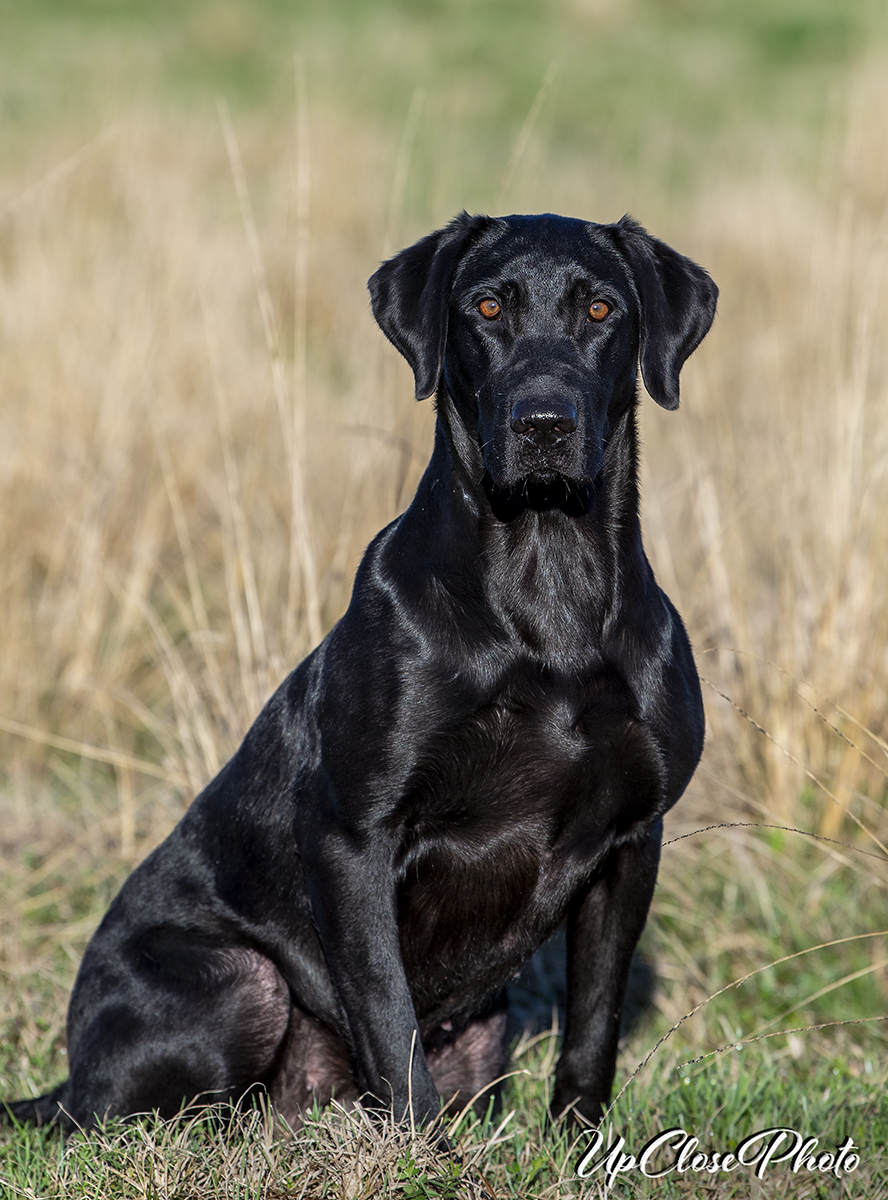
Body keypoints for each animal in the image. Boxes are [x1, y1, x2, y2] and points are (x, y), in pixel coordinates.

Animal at [3, 211, 715, 1128]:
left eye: (600, 310)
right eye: (487, 306)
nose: (543, 422)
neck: (547, 587)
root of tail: (64, 1080)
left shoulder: (632, 838)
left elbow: (594, 1023)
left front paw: (581, 1142)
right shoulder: (352, 835)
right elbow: (387, 1015)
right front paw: (426, 1153)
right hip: (242, 984)